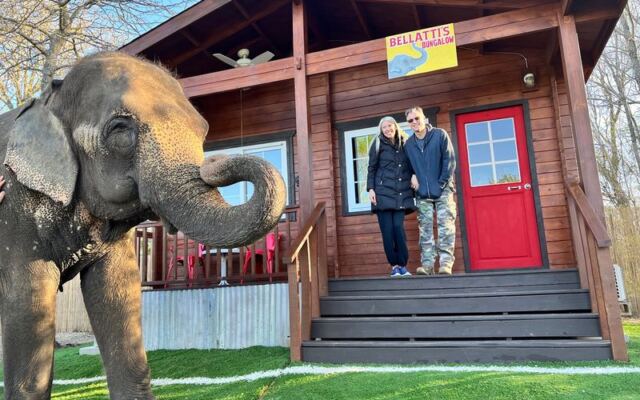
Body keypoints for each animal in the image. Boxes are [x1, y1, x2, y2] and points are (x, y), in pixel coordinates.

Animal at [0, 52, 286, 399]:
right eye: (120, 130)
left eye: (203, 131)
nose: (215, 163)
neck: (51, 98)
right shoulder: (15, 211)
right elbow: (27, 297)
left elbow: (116, 289)